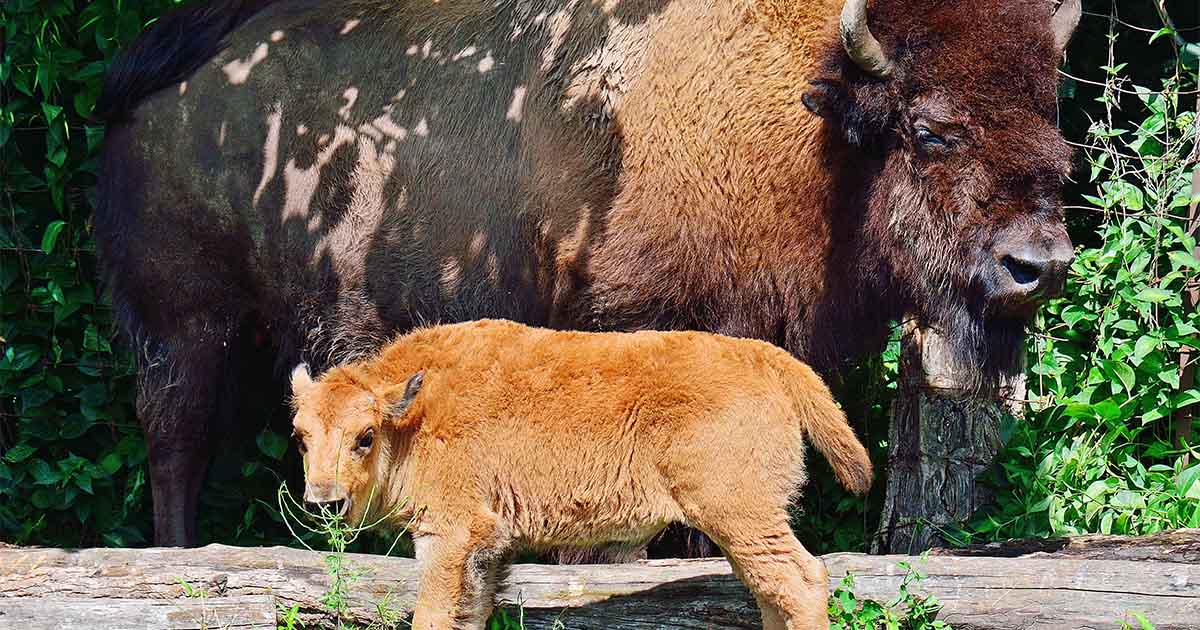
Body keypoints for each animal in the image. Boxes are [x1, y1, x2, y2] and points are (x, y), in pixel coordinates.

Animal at [95, 0, 1080, 547]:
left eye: (1051, 122)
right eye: (931, 130)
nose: (1039, 265)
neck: (810, 129)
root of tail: (161, 69)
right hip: (186, 321)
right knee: (175, 438)